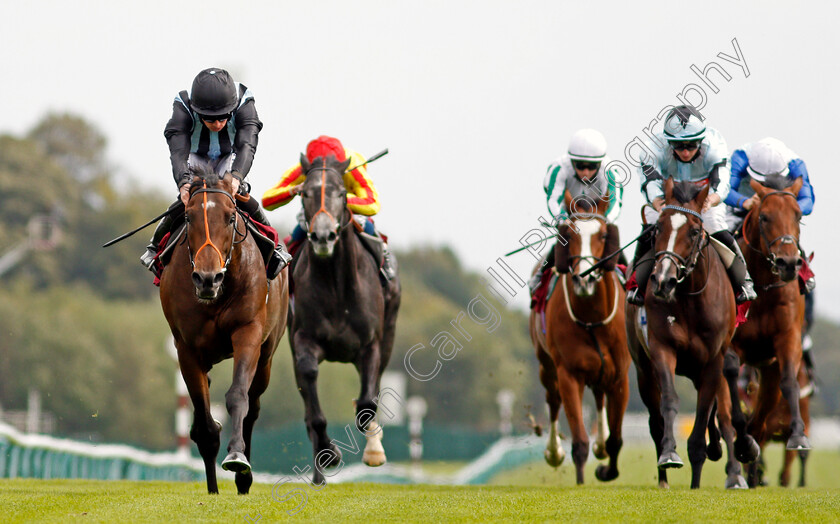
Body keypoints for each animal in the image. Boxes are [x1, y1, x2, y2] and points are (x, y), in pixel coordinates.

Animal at [158, 169, 288, 496]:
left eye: (231, 217)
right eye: (188, 217)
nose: (208, 279)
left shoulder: (248, 332)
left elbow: (238, 396)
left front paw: (238, 458)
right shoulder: (186, 348)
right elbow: (205, 427)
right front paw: (213, 488)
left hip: (267, 356)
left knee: (253, 407)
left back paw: (245, 478)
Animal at [290, 154, 402, 486]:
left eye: (341, 193)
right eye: (304, 193)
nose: (323, 236)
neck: (335, 286)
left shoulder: (371, 345)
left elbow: (367, 404)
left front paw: (373, 451)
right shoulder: (303, 338)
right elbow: (311, 396)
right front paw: (329, 452)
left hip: (388, 336)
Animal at [528, 191, 628, 484]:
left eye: (604, 234)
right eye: (569, 235)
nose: (585, 279)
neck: (592, 319)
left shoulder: (620, 375)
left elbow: (616, 439)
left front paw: (607, 469)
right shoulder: (569, 373)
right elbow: (580, 441)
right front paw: (581, 482)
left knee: (599, 397)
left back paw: (601, 445)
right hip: (546, 366)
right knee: (552, 401)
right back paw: (554, 452)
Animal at [624, 178, 748, 490]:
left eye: (693, 231)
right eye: (658, 229)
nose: (662, 280)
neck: (691, 300)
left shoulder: (713, 360)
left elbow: (705, 412)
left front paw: (700, 464)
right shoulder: (662, 349)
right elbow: (669, 401)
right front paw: (669, 454)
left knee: (721, 413)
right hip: (644, 370)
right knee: (655, 420)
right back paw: (664, 479)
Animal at [720, 174, 812, 468]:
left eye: (798, 215)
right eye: (764, 217)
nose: (788, 263)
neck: (762, 288)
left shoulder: (787, 338)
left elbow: (789, 379)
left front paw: (798, 436)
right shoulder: (730, 343)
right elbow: (730, 371)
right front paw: (742, 442)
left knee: (760, 420)